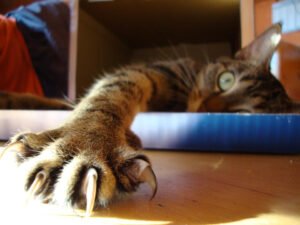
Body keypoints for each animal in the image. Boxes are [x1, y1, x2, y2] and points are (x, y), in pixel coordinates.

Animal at [1, 23, 298, 216]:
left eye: (241, 115)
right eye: (225, 80)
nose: (206, 107)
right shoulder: (149, 72)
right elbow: (106, 97)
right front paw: (84, 143)